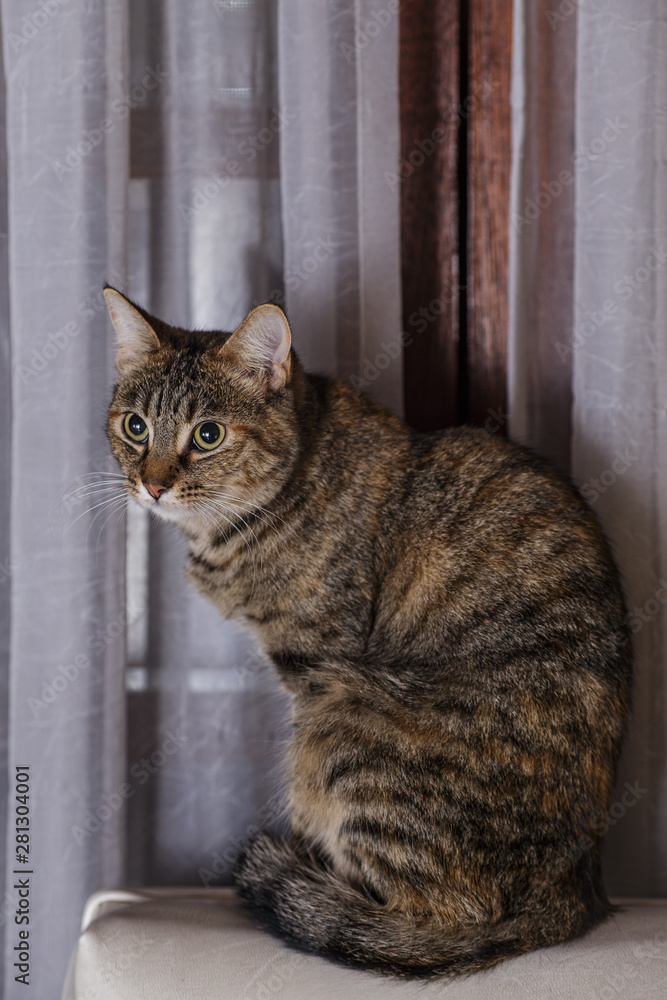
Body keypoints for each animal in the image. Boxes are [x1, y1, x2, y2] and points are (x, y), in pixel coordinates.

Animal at [104, 288, 632, 976]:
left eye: (208, 434)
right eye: (135, 426)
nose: (154, 484)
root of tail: (575, 895)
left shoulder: (316, 667)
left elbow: (304, 806)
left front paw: (302, 871)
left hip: (344, 716)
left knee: (444, 909)